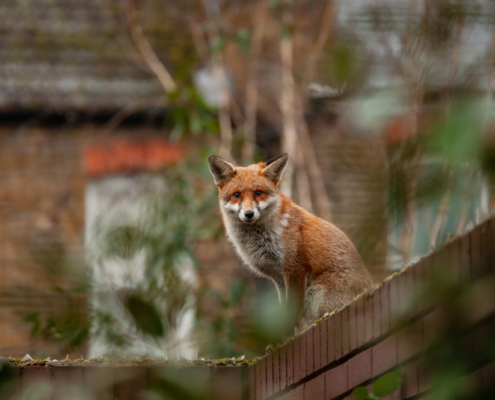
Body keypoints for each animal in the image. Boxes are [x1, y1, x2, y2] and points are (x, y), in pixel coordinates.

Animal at [207, 152, 374, 324]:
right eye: (236, 195)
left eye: (258, 193)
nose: (249, 214)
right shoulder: (278, 277)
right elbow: (283, 310)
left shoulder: (294, 267)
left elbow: (291, 310)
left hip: (316, 295)